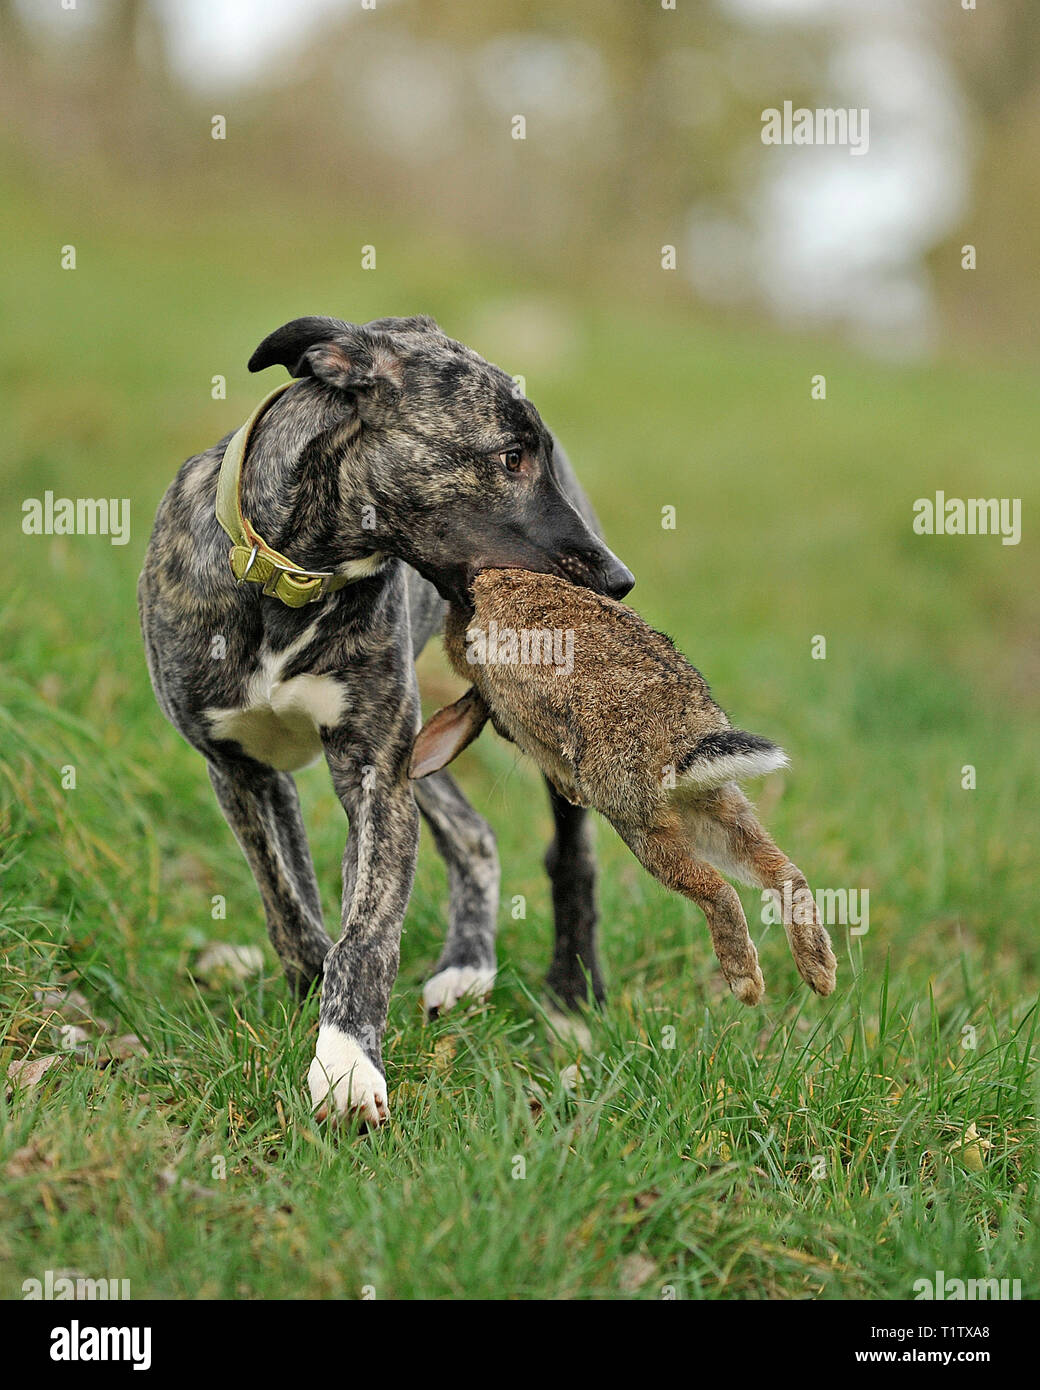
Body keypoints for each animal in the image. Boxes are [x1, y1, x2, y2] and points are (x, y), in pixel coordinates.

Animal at [410, 569, 837, 1004]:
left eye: (502, 730)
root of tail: (685, 740)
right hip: (713, 808)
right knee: (783, 872)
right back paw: (820, 972)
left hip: (641, 825)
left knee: (716, 890)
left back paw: (746, 982)